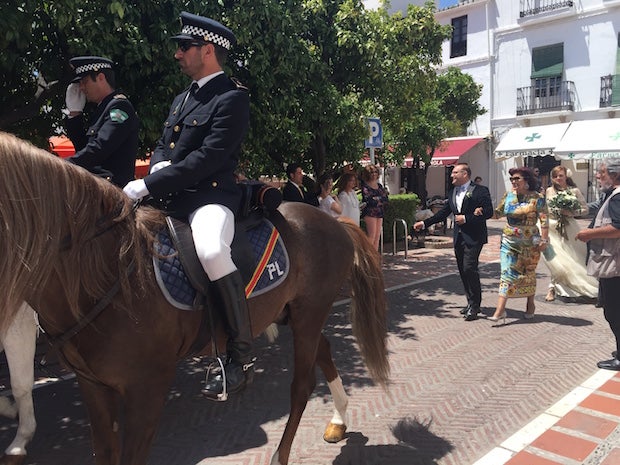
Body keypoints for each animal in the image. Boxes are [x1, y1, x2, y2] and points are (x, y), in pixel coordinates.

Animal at [0, 131, 388, 464]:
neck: (109, 270)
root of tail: (333, 222)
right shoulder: (93, 386)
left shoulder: (147, 388)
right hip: (293, 313)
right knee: (324, 350)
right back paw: (338, 420)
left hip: (309, 313)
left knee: (302, 385)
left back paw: (281, 454)